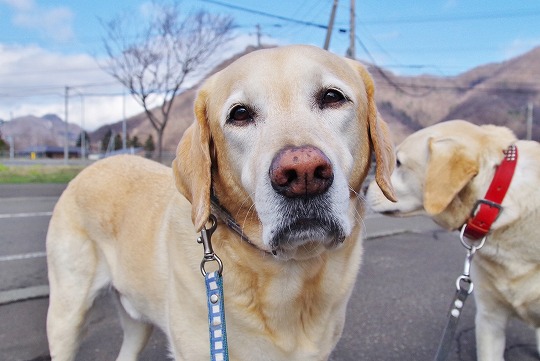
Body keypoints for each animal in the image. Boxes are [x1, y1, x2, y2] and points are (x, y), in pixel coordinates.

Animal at [46, 45, 396, 360]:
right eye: (239, 114)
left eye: (332, 97)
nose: (303, 173)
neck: (291, 272)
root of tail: (94, 166)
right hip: (66, 315)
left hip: (135, 319)